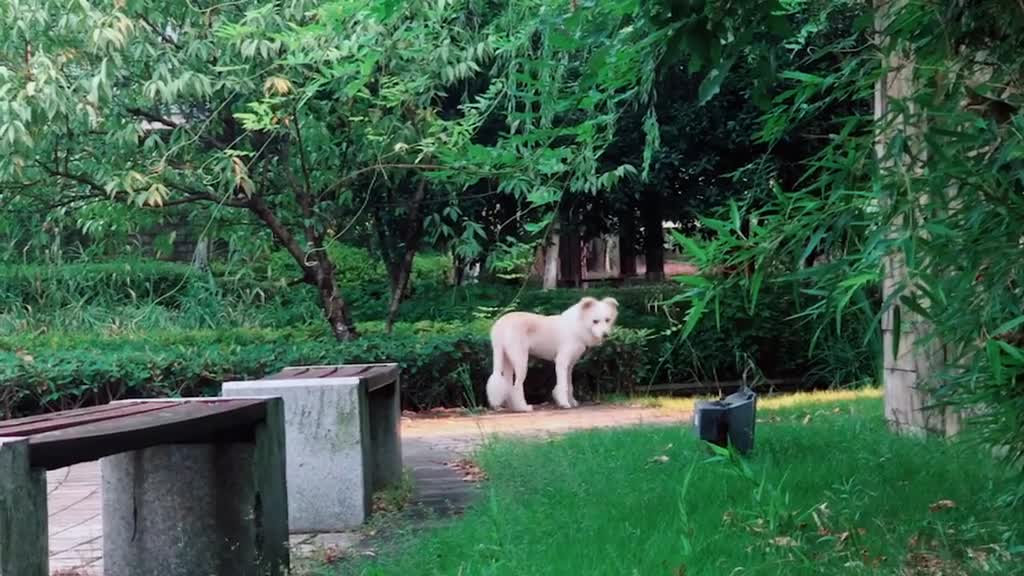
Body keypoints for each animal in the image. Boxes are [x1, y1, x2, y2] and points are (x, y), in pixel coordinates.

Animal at [485, 295, 618, 407]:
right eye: (595, 321)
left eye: (607, 320)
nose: (605, 335)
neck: (576, 326)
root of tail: (500, 325)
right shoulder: (561, 362)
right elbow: (563, 385)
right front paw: (564, 403)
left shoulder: (570, 365)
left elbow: (569, 385)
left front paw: (572, 402)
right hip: (520, 362)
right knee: (516, 386)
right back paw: (523, 407)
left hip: (507, 361)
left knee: (508, 385)